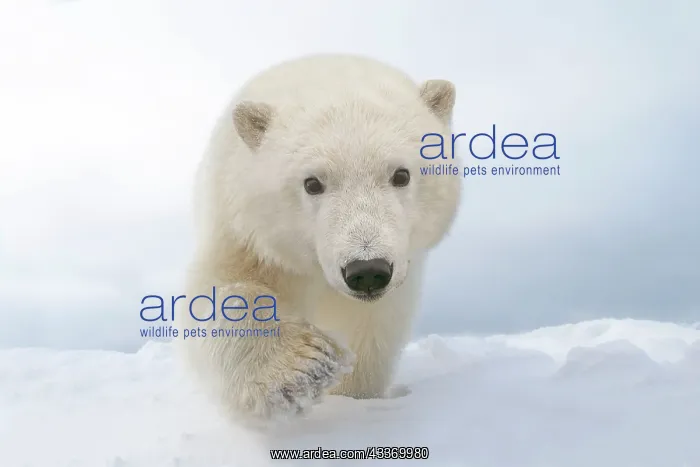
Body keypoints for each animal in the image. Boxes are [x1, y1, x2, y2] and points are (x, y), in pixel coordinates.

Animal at [175, 53, 462, 423]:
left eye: (402, 174)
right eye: (312, 182)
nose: (367, 270)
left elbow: (368, 330)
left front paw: (353, 395)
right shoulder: (243, 231)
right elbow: (219, 291)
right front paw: (303, 367)